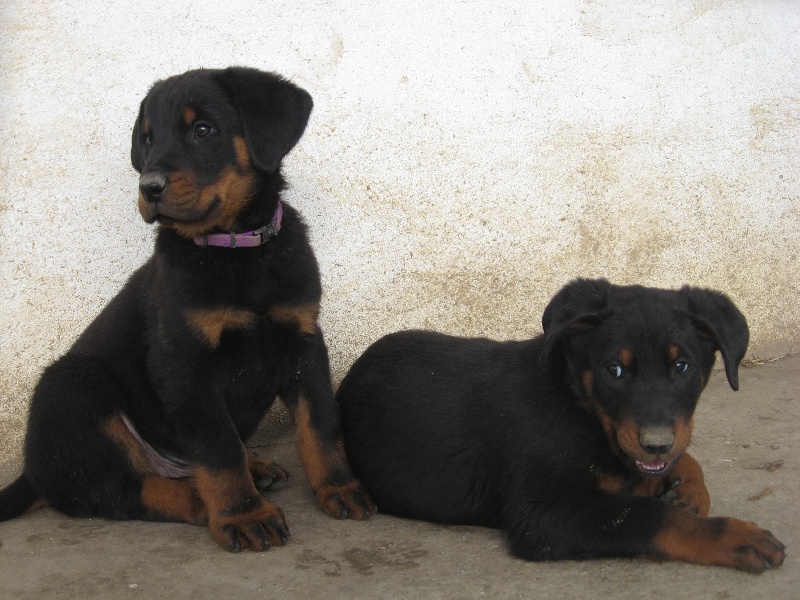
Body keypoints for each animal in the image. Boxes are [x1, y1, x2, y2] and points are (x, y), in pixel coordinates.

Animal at [0, 67, 376, 552]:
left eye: (202, 130)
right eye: (147, 138)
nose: (149, 187)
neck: (236, 251)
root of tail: (33, 472)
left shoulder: (303, 340)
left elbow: (320, 423)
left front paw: (338, 486)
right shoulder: (185, 364)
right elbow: (217, 449)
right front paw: (243, 514)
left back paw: (255, 469)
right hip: (72, 387)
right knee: (118, 490)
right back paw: (201, 500)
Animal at [334, 278, 784, 576]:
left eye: (683, 367)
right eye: (614, 370)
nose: (655, 444)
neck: (580, 405)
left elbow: (683, 461)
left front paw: (688, 489)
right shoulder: (543, 515)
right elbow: (650, 516)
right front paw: (735, 536)